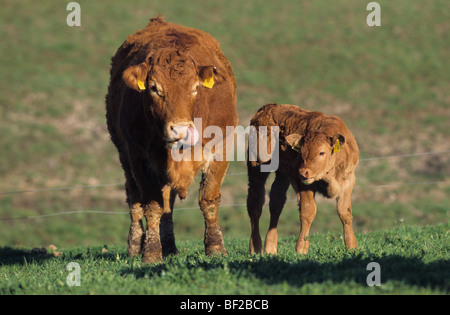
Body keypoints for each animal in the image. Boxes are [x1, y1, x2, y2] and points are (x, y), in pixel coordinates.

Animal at [107, 16, 237, 264]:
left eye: (195, 88)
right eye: (154, 88)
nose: (180, 130)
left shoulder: (221, 148)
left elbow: (208, 200)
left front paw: (216, 248)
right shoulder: (139, 158)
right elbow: (152, 205)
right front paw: (151, 253)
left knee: (169, 201)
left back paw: (169, 246)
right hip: (124, 156)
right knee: (135, 200)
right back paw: (136, 246)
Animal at [246, 105, 358, 256]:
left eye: (321, 152)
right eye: (301, 152)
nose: (304, 172)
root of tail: (266, 108)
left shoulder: (348, 180)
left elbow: (344, 212)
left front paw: (352, 246)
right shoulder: (303, 184)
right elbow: (308, 211)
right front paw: (301, 248)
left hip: (282, 174)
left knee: (276, 203)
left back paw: (270, 248)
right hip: (256, 168)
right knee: (255, 203)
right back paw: (256, 248)